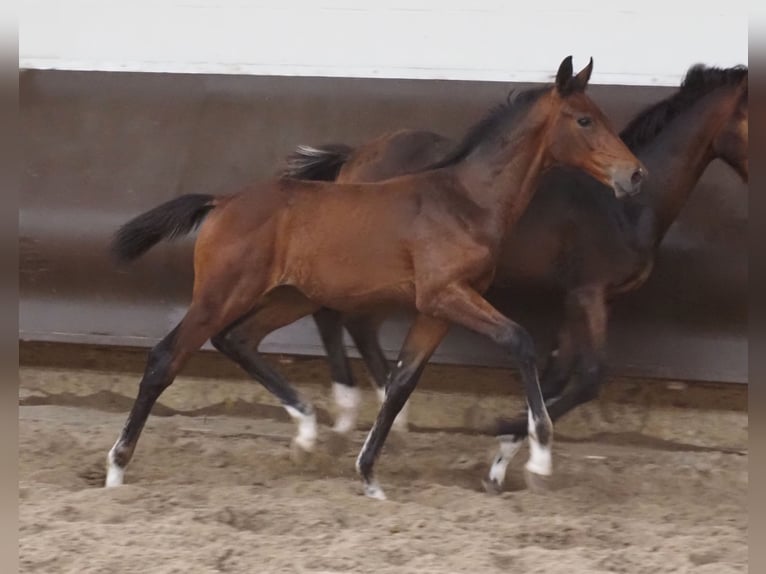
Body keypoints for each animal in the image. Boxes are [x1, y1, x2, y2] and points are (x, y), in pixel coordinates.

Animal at [103, 58, 640, 500]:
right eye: (585, 119)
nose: (634, 174)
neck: (465, 201)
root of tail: (223, 201)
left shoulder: (436, 308)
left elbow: (402, 380)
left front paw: (370, 477)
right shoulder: (447, 295)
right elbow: (521, 341)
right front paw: (541, 459)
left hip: (290, 295)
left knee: (238, 339)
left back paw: (307, 428)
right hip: (223, 292)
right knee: (166, 357)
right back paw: (116, 468)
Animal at [284, 65, 752, 492]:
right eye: (585, 120)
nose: (633, 176)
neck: (625, 209)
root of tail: (353, 157)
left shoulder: (575, 298)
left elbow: (557, 374)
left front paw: (504, 460)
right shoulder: (589, 293)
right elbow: (589, 376)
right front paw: (513, 438)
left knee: (354, 325)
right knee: (336, 317)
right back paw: (338, 416)